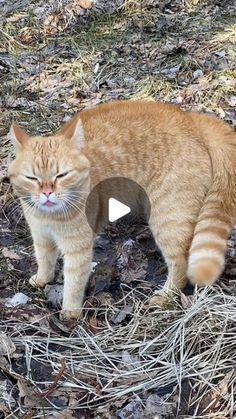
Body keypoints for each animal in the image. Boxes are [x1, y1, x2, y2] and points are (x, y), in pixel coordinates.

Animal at [7, 101, 236, 318]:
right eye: (31, 178)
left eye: (62, 175)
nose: (47, 193)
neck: (48, 217)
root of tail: (191, 119)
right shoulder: (41, 236)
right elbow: (44, 259)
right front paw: (42, 279)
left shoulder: (77, 249)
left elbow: (73, 282)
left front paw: (70, 312)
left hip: (168, 220)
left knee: (180, 262)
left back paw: (166, 295)